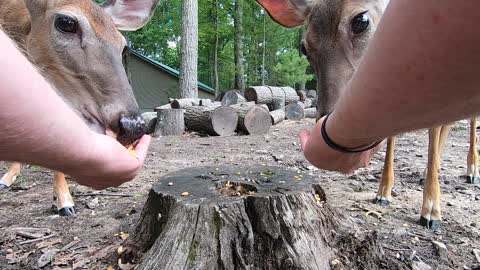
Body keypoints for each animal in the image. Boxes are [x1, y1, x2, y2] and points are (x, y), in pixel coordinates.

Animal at [256, 0, 480, 230]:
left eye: (361, 21)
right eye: (303, 47)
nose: (327, 117)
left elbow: (433, 132)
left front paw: (431, 210)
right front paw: (383, 192)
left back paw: (471, 172)